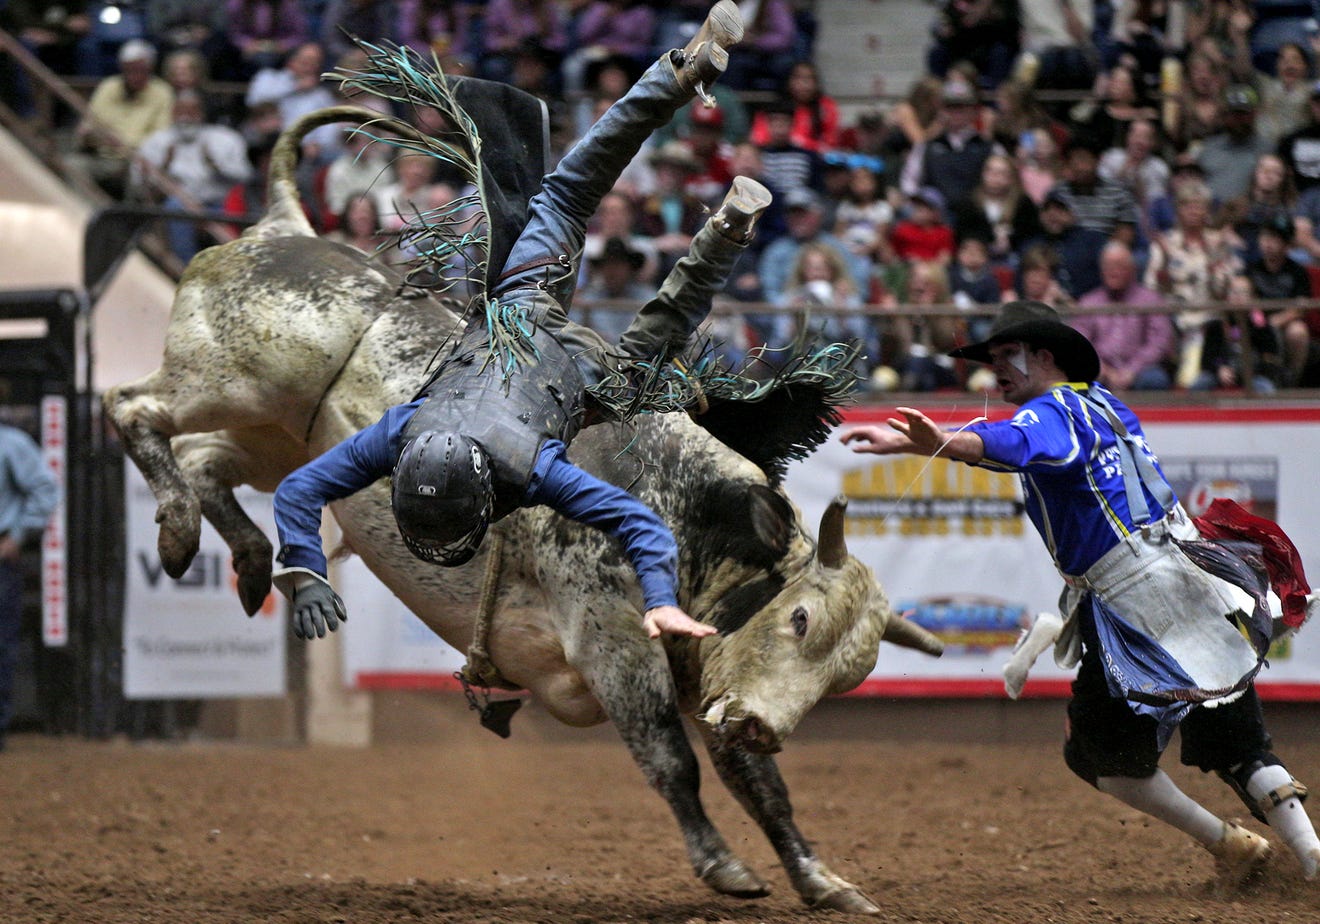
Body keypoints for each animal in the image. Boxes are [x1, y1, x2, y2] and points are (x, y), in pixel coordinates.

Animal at [104, 104, 944, 915]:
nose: (765, 727)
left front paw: (820, 879)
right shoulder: (616, 651)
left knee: (211, 465)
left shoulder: (713, 672)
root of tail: (283, 227)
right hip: (224, 382)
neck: (684, 514)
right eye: (800, 619)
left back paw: (247, 562)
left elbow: (760, 786)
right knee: (131, 407)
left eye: (851, 674)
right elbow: (671, 762)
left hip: (276, 436)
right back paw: (178, 532)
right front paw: (722, 865)